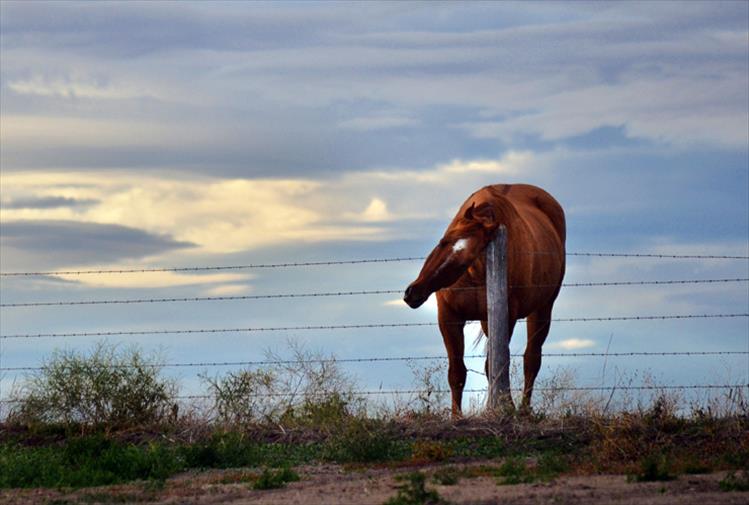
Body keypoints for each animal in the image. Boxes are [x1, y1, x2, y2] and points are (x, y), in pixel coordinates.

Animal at [404, 183, 568, 416]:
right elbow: (457, 372)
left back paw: (524, 409)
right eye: (443, 242)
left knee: (531, 359)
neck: (475, 274)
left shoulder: (506, 317)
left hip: (542, 309)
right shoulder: (449, 317)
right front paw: (456, 416)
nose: (413, 292)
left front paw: (503, 407)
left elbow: (496, 364)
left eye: (465, 261)